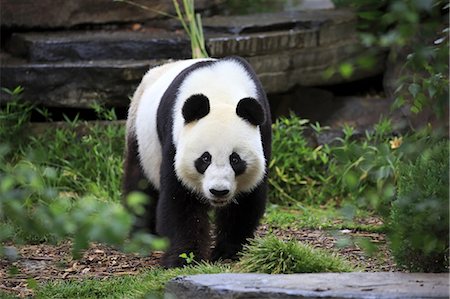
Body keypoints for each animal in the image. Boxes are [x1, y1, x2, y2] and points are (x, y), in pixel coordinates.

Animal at [122, 56, 270, 270]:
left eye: (235, 159)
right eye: (205, 158)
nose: (219, 191)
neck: (220, 90)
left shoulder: (263, 136)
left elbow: (246, 202)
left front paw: (228, 252)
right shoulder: (174, 140)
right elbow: (179, 201)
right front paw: (184, 258)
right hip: (140, 136)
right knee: (139, 184)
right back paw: (143, 234)